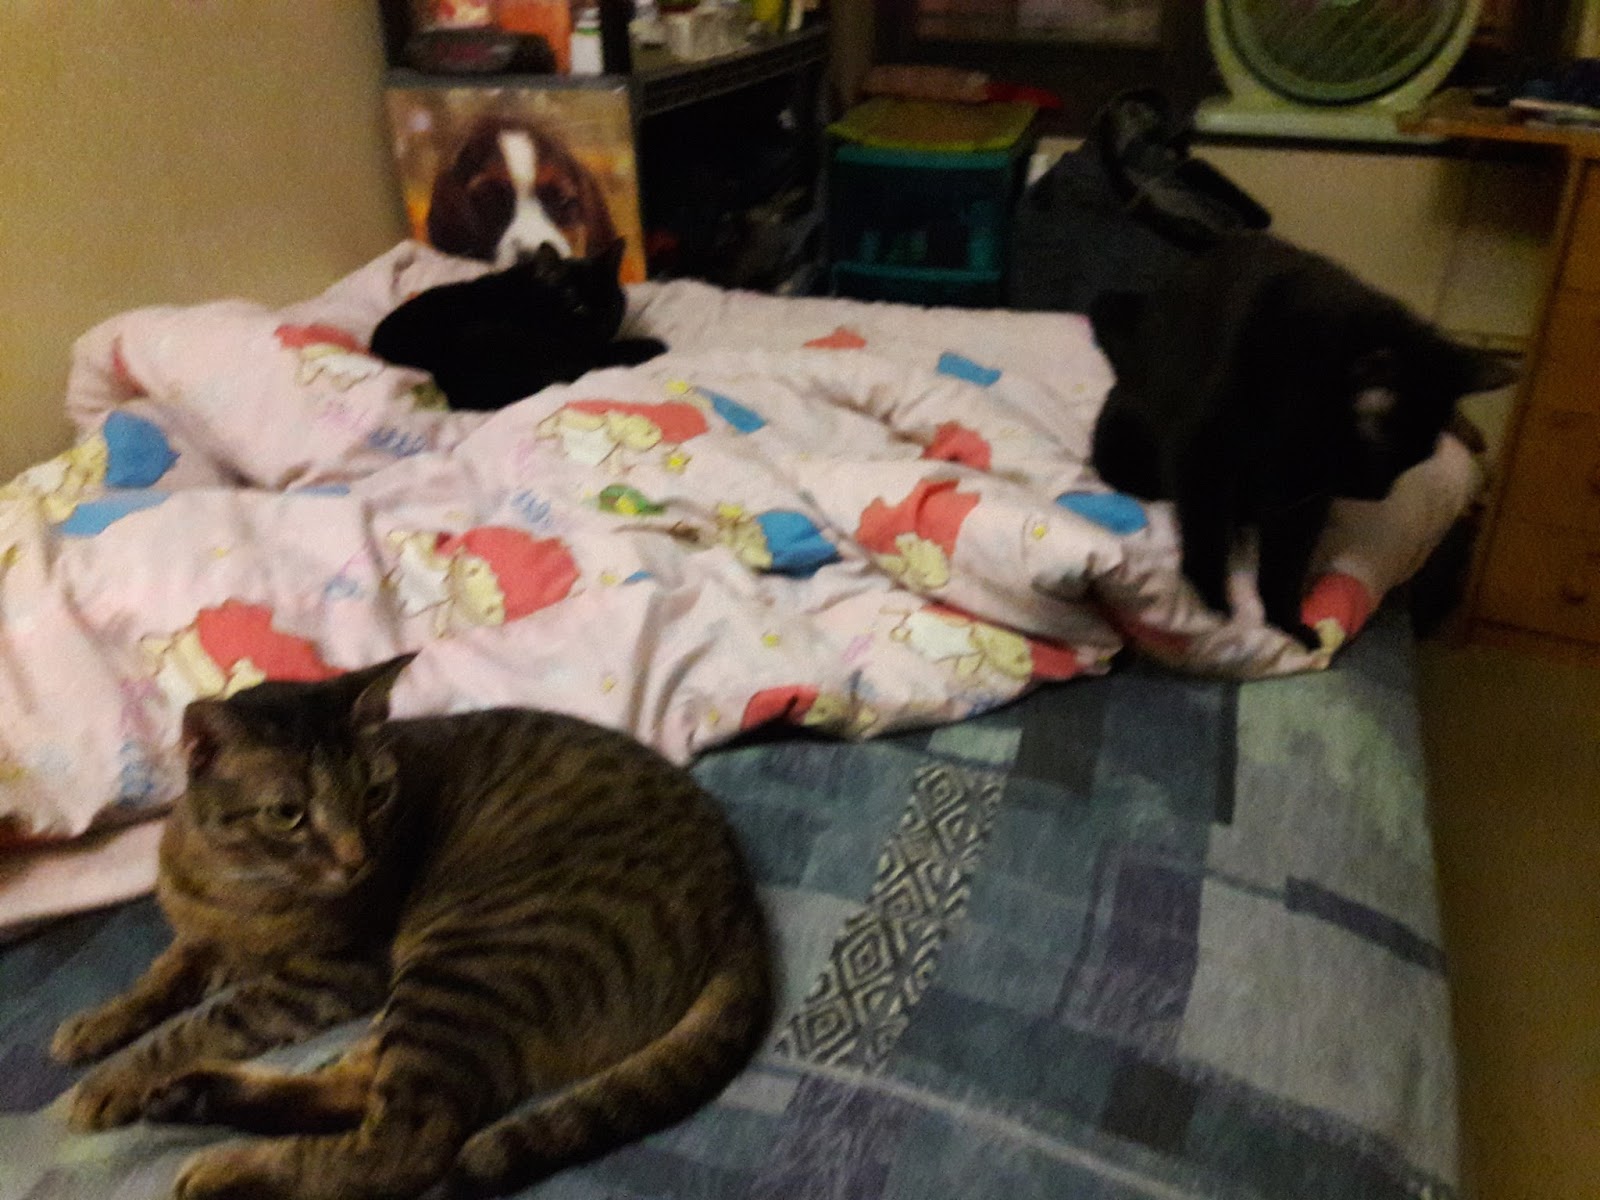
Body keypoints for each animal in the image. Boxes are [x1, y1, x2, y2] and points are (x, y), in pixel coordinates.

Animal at [51, 655, 772, 1200]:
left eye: (374, 795)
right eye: (288, 813)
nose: (356, 858)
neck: (234, 878)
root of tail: (741, 907)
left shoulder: (341, 969)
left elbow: (203, 1023)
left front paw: (110, 1083)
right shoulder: (206, 941)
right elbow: (160, 979)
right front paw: (96, 1025)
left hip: (466, 959)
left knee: (406, 1144)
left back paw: (228, 1167)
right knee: (358, 1086)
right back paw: (195, 1099)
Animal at [370, 239, 667, 411]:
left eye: (613, 305)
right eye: (579, 306)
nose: (605, 325)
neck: (531, 298)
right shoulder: (571, 349)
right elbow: (602, 352)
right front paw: (651, 344)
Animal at [1088, 232, 1514, 648]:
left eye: (1413, 462)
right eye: (1382, 458)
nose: (1379, 494)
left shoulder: (1305, 493)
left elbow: (1287, 560)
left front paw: (1287, 624)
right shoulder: (1207, 451)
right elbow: (1206, 528)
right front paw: (1211, 602)